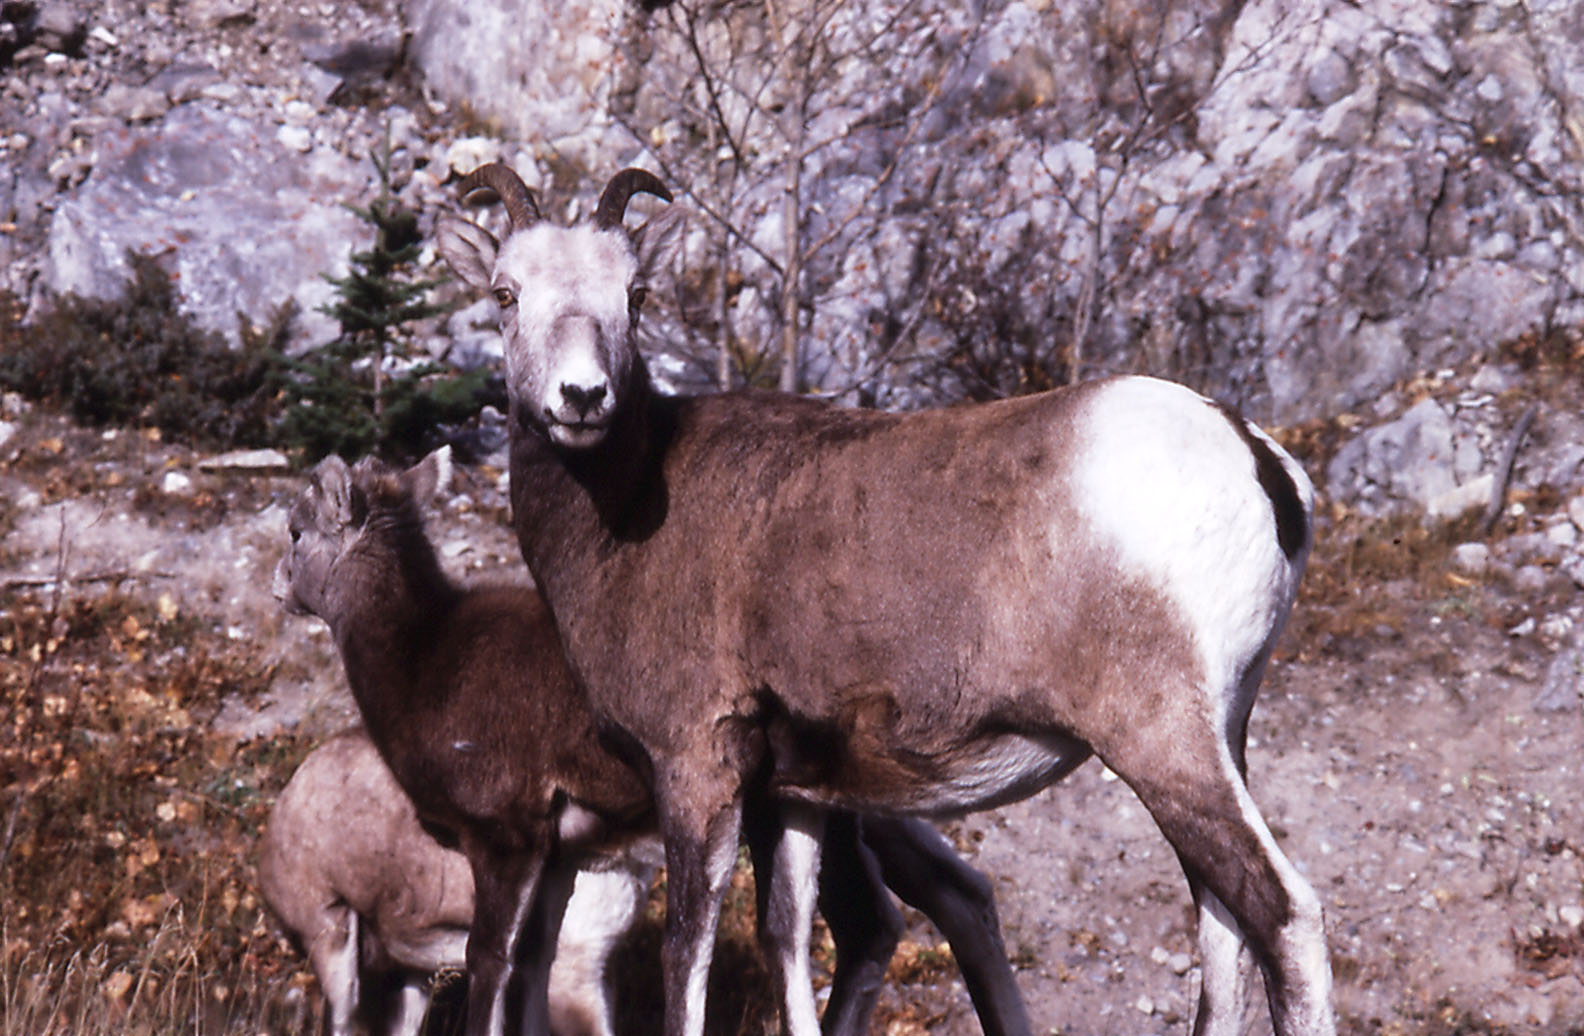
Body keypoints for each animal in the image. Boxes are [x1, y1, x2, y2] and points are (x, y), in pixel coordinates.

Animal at [436, 163, 1335, 1036]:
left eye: (635, 294)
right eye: (505, 292)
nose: (581, 398)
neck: (620, 516)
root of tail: (1258, 462)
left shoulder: (696, 771)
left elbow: (686, 956)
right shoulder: (791, 797)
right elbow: (789, 940)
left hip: (1163, 745)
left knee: (1283, 918)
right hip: (1222, 741)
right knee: (1224, 929)